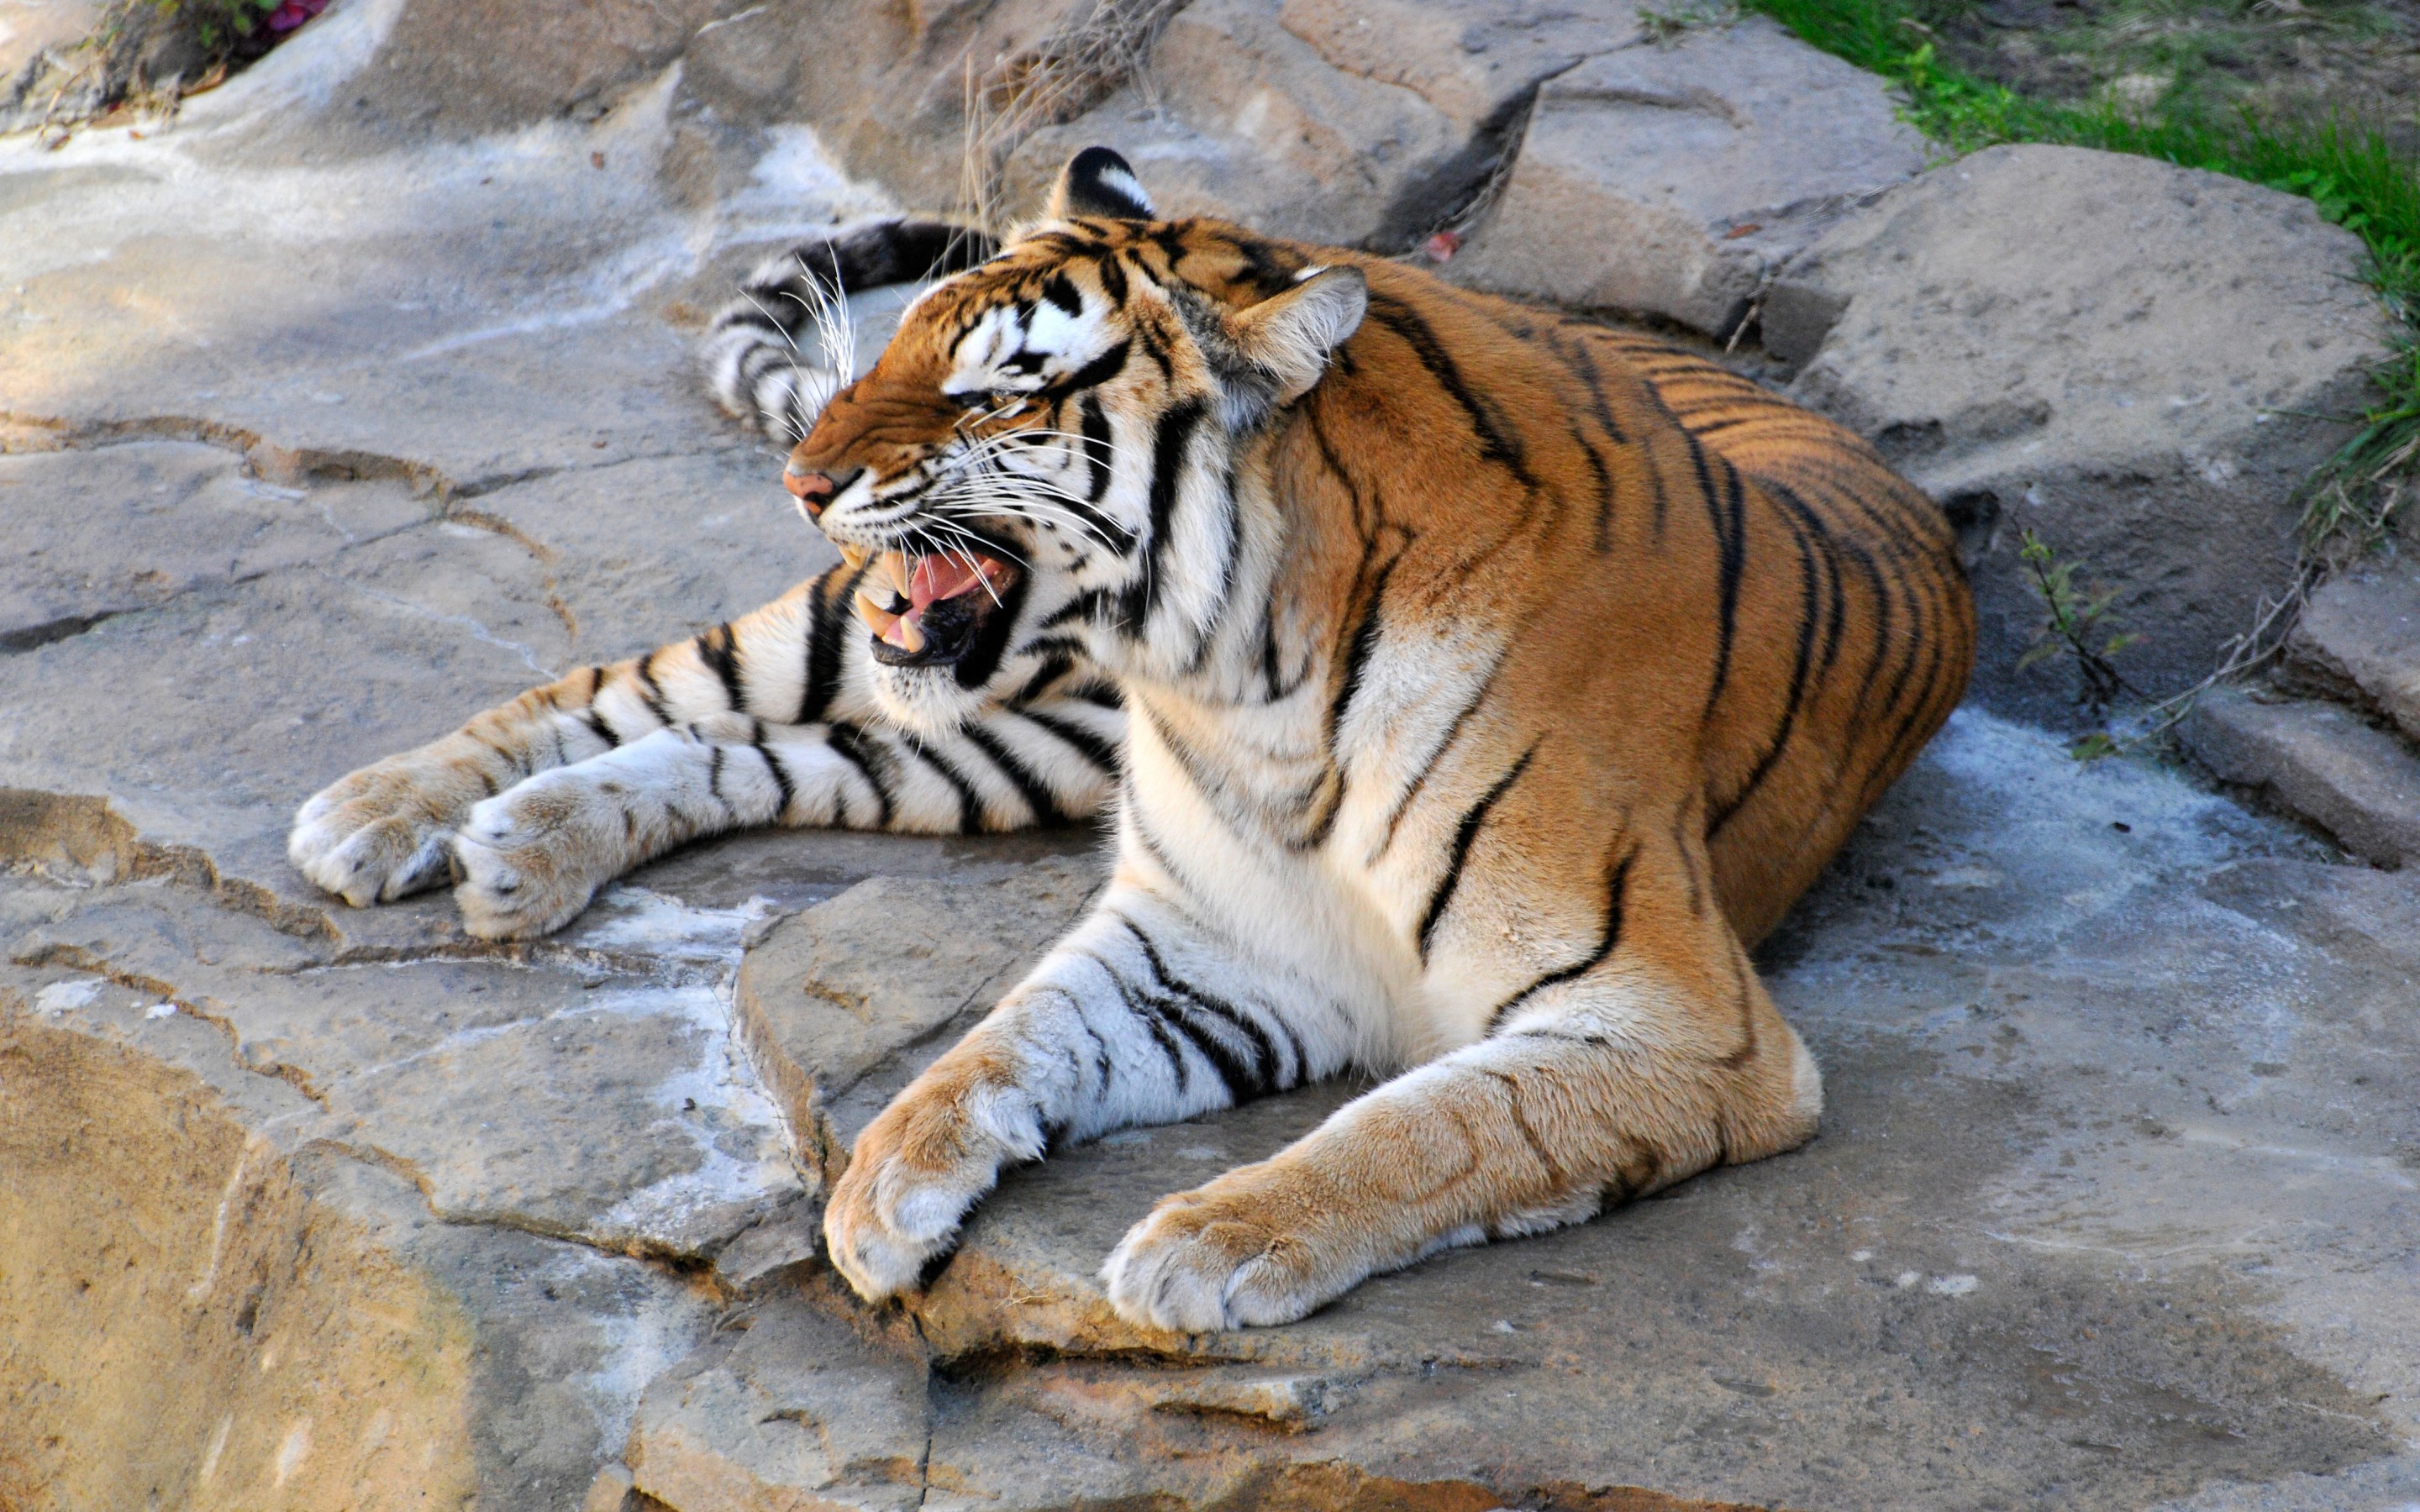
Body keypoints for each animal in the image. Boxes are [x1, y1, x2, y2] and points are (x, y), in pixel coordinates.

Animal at [292, 147, 1975, 1326]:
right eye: (897, 352)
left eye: (994, 396)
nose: (807, 482)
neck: (1248, 684)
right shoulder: (1203, 937)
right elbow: (1005, 1035)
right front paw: (885, 1184)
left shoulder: (1681, 1024)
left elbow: (1437, 1125)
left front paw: (1203, 1243)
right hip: (867, 642)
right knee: (636, 684)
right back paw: (389, 813)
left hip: (995, 752)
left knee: (757, 755)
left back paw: (521, 846)